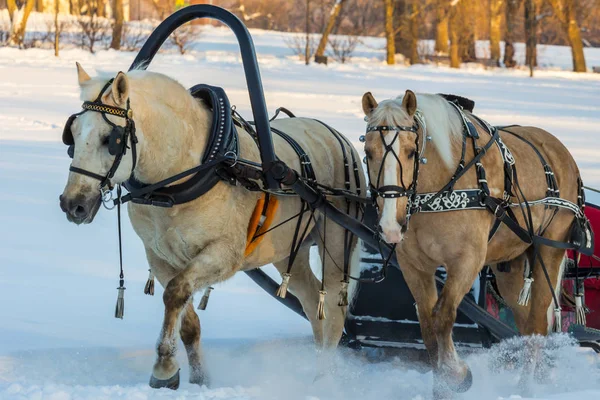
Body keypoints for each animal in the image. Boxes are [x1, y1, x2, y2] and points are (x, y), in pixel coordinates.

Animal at [58, 64, 364, 390]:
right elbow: (187, 320)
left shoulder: (223, 254)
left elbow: (175, 293)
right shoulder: (160, 256)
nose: (72, 203)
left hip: (337, 239)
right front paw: (198, 377)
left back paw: (324, 377)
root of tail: (337, 136)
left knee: (334, 308)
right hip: (287, 251)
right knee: (312, 303)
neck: (180, 177)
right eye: (72, 135)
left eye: (109, 138)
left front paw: (164, 367)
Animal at [360, 90, 584, 394]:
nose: (390, 226)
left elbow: (443, 316)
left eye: (410, 151)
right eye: (368, 153)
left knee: (537, 324)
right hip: (511, 267)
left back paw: (525, 388)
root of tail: (560, 150)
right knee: (525, 325)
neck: (437, 188)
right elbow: (428, 326)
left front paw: (457, 374)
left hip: (549, 250)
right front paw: (441, 387)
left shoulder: (466, 261)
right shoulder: (414, 265)